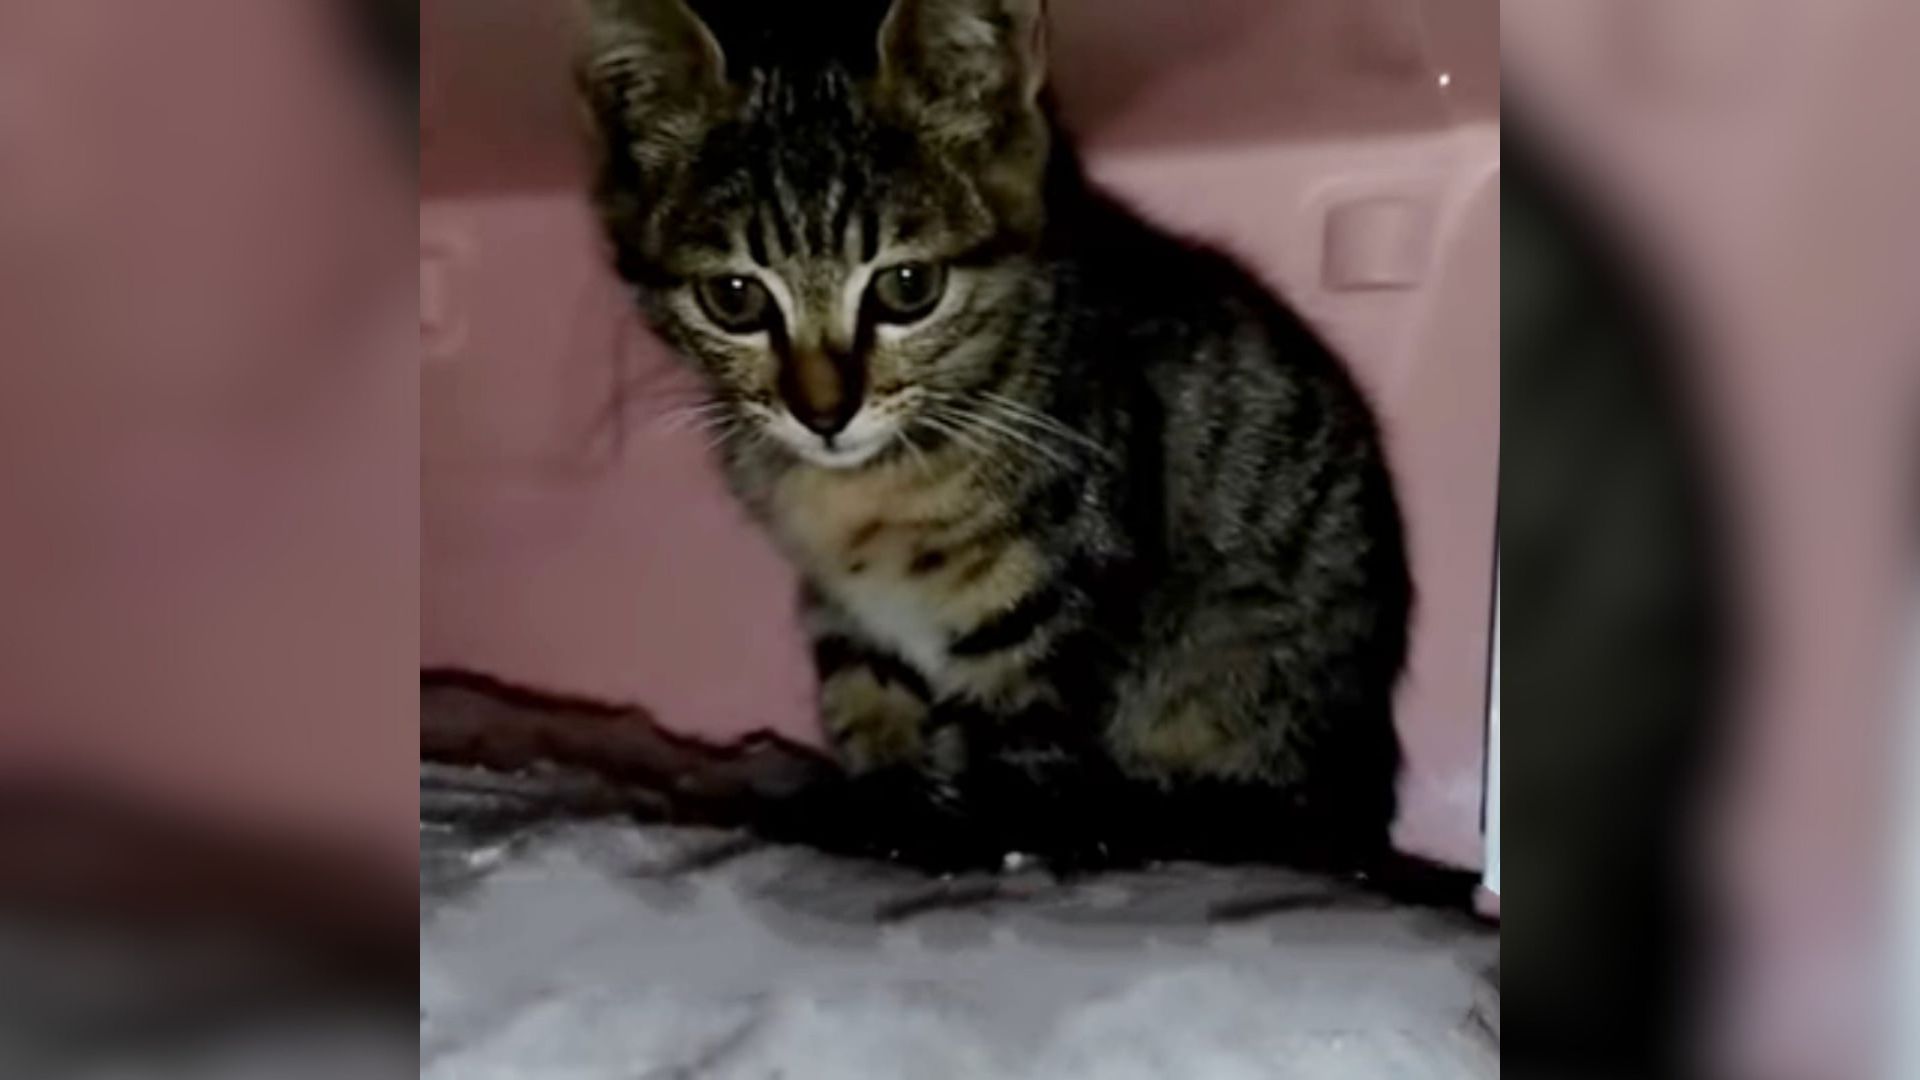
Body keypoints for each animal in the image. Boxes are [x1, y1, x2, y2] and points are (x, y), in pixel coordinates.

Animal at [568, 0, 1413, 868]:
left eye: (908, 286)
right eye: (733, 297)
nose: (824, 414)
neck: (868, 485)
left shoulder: (1052, 603)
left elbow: (1023, 765)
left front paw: (977, 850)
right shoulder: (845, 611)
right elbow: (868, 704)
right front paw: (882, 812)